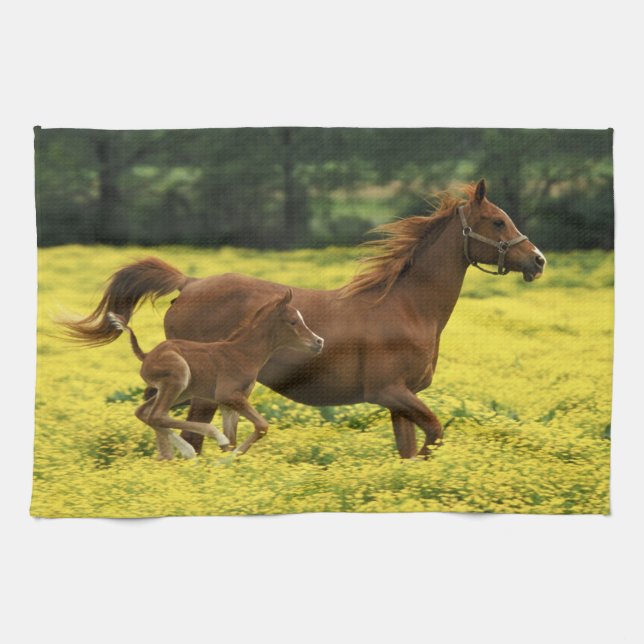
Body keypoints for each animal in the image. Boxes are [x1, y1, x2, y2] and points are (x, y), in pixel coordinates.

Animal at [105, 289, 323, 459]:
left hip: (181, 391)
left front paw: (226, 463)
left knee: (145, 413)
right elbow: (261, 426)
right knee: (157, 415)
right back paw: (201, 444)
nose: (319, 342)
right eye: (293, 321)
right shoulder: (227, 395)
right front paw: (227, 457)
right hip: (178, 378)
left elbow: (234, 438)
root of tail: (147, 355)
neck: (242, 353)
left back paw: (178, 453)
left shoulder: (230, 402)